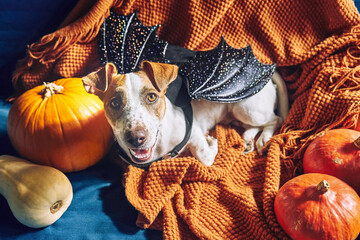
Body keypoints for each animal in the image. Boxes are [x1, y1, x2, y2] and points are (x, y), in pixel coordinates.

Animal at [83, 61, 288, 166]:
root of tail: (265, 75)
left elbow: (205, 157)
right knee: (253, 126)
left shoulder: (193, 130)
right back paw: (248, 139)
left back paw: (263, 138)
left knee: (275, 119)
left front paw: (212, 144)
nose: (136, 138)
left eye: (151, 97)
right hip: (239, 114)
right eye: (115, 103)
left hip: (246, 109)